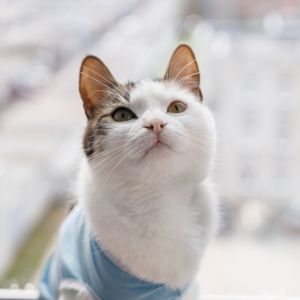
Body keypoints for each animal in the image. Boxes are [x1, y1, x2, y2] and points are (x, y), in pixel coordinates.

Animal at [39, 44, 218, 300]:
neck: (156, 200)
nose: (156, 123)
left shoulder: (188, 289)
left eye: (176, 107)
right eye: (122, 115)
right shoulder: (75, 287)